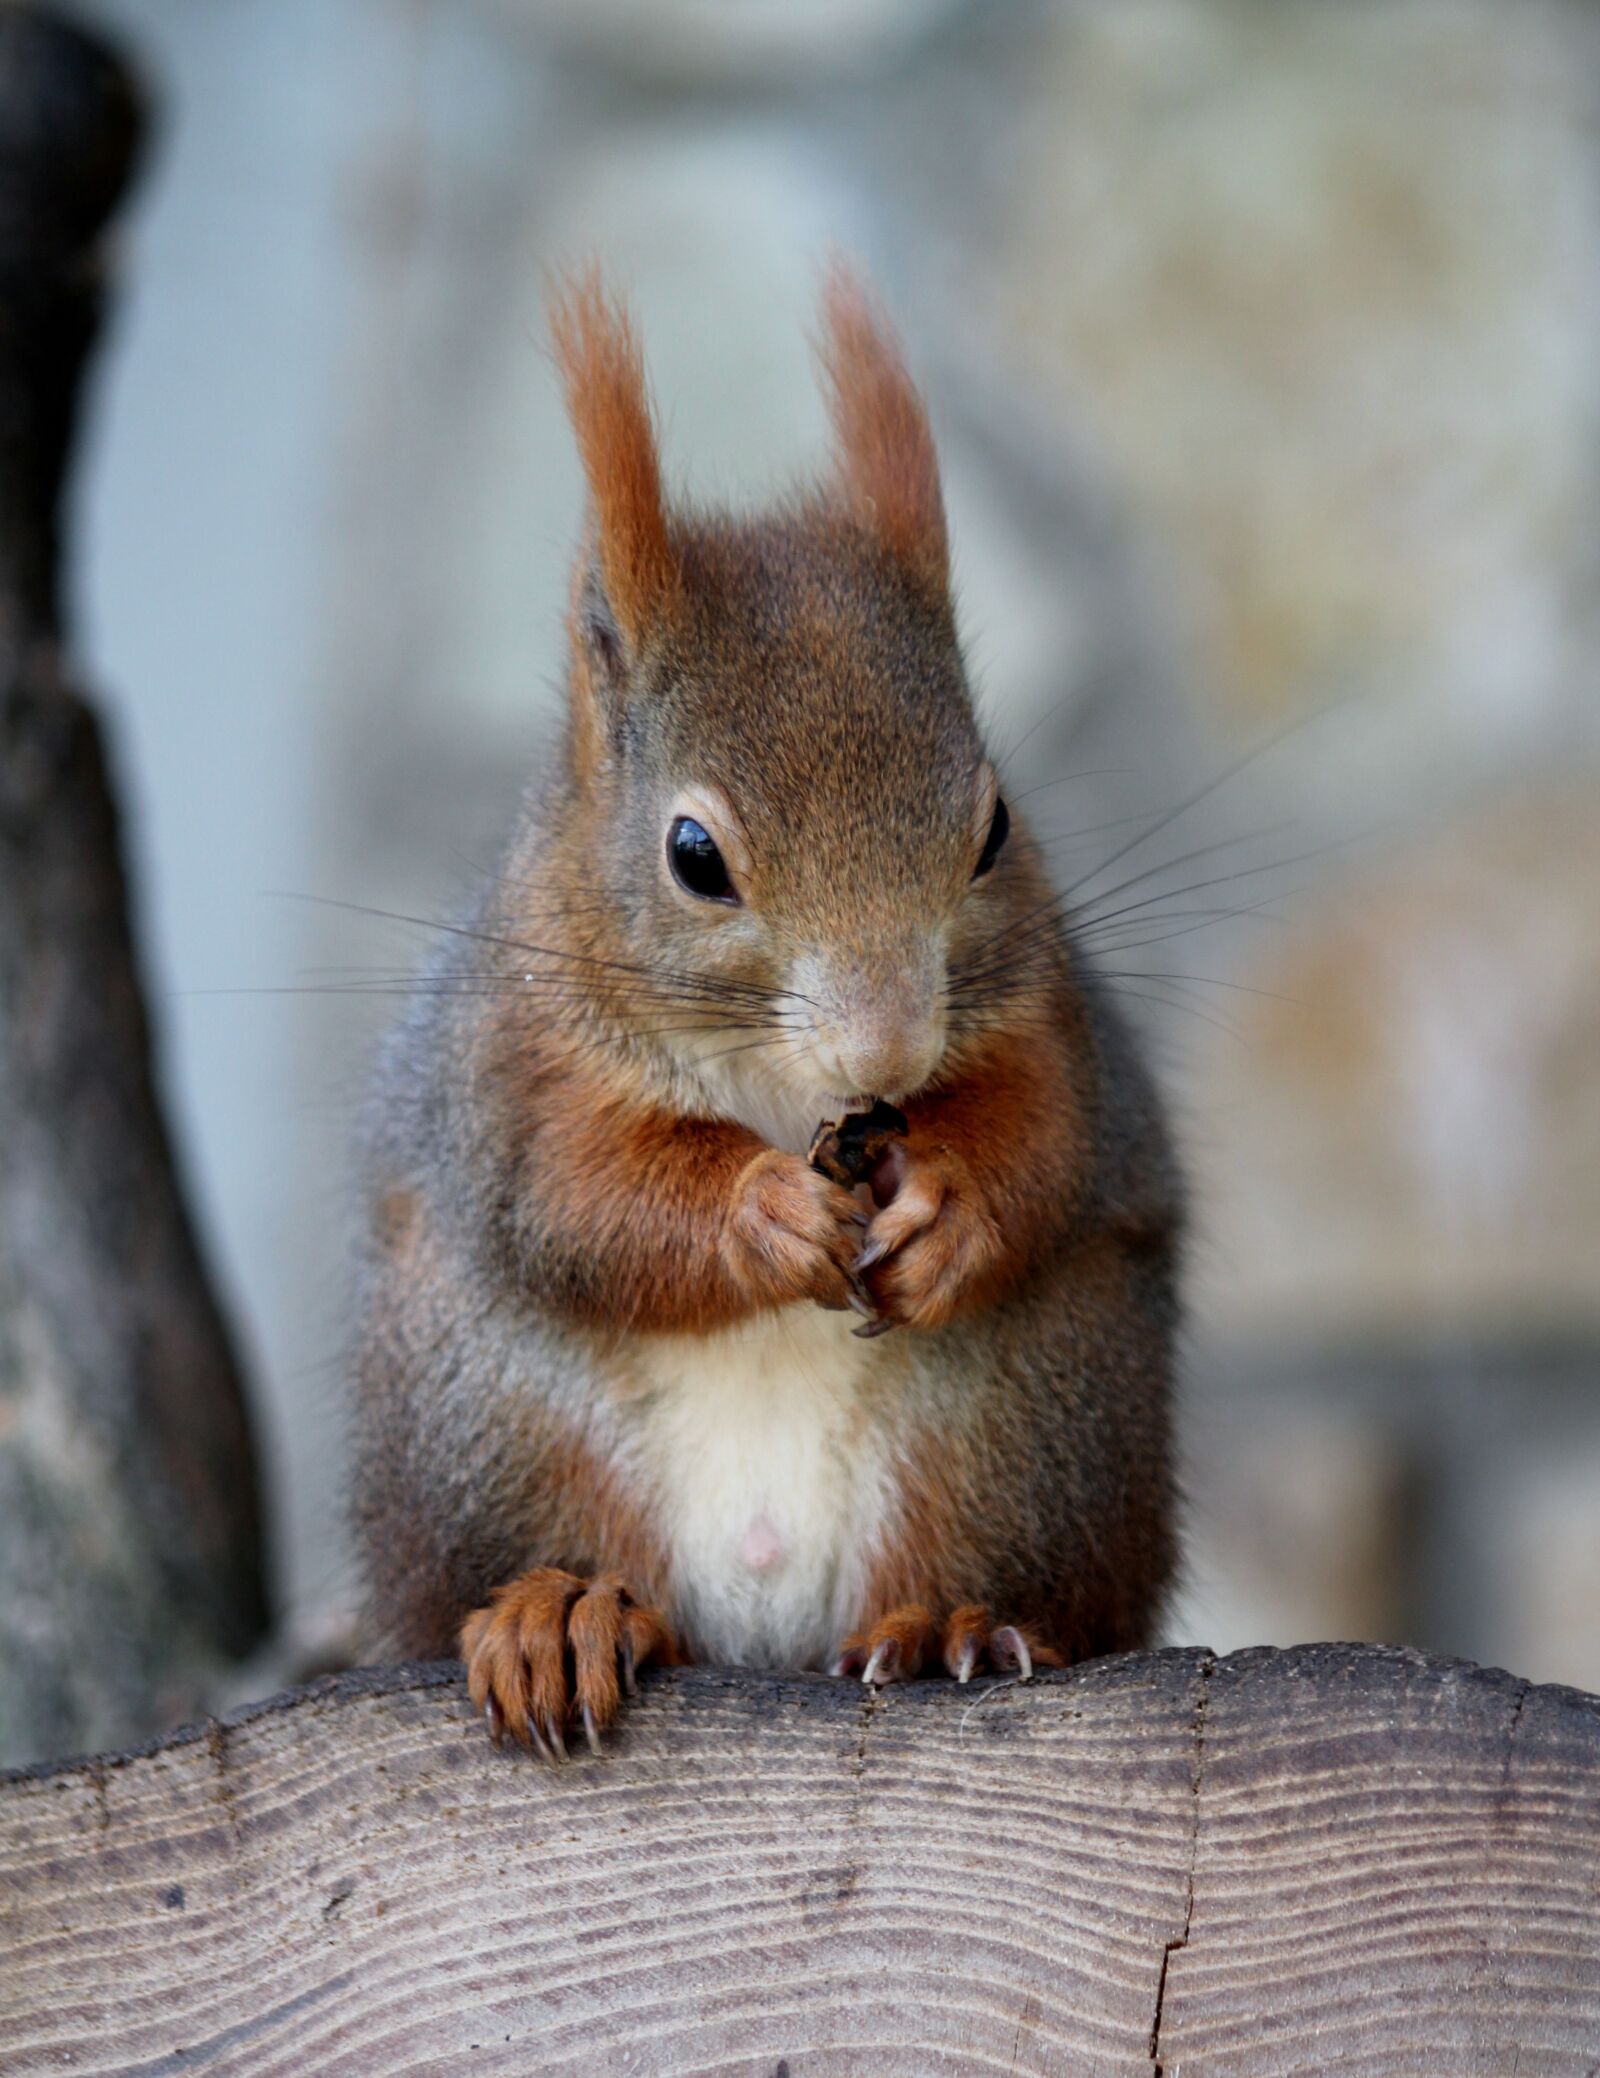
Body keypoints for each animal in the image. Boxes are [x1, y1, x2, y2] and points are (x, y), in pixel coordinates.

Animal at [349, 264, 1182, 1759]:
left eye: (994, 827)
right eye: (693, 855)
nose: (888, 1047)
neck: (795, 1097)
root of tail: (765, 1623)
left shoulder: (1045, 1011)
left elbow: (1048, 1133)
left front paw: (955, 1206)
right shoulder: (513, 1064)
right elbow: (569, 1195)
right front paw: (761, 1213)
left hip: (1033, 1418)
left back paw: (947, 1622)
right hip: (487, 1419)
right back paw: (557, 1614)